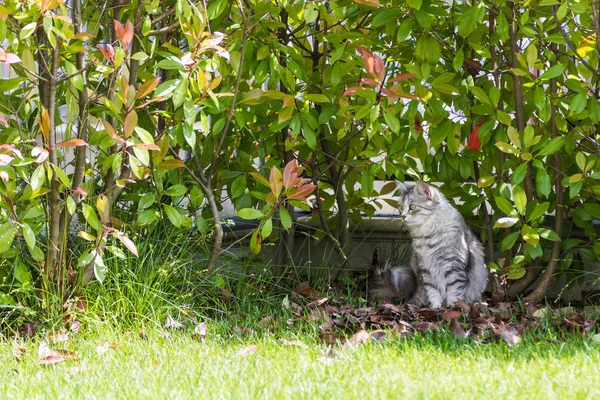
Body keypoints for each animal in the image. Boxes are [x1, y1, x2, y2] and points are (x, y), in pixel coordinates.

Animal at [370, 180, 488, 308]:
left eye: (412, 207)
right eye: (401, 208)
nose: (402, 216)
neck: (427, 235)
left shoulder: (453, 266)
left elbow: (454, 291)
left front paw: (452, 308)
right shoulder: (426, 268)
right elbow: (433, 292)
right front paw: (435, 308)